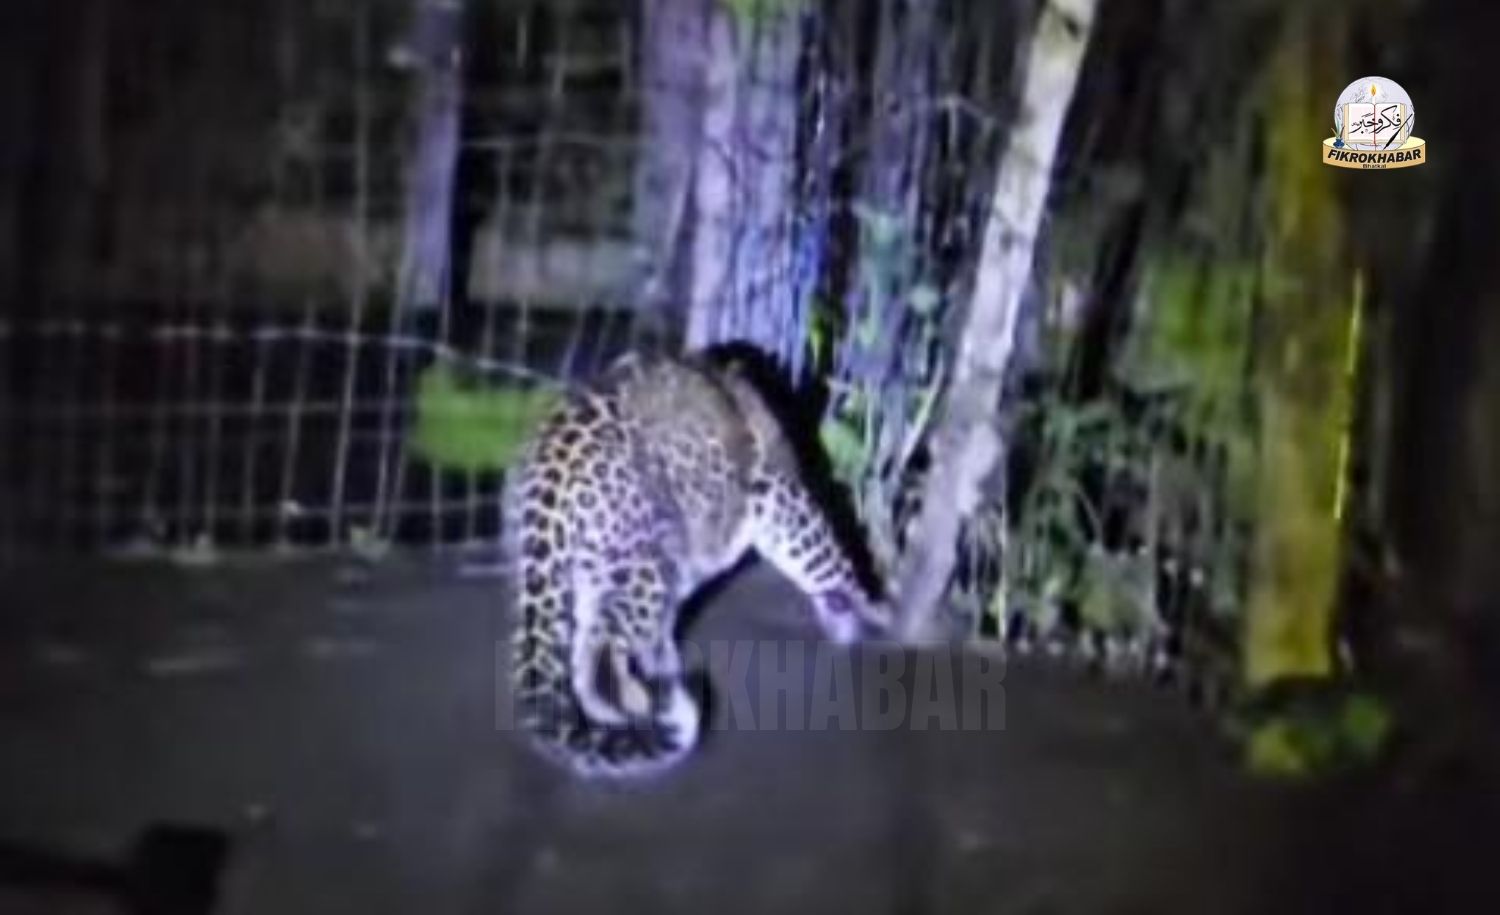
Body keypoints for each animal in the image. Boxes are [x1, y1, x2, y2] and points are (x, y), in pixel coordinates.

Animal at [501, 348, 891, 779]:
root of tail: (548, 475)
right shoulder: (780, 501)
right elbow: (830, 561)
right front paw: (877, 613)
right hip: (646, 567)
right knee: (602, 657)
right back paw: (656, 708)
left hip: (579, 576)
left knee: (585, 652)